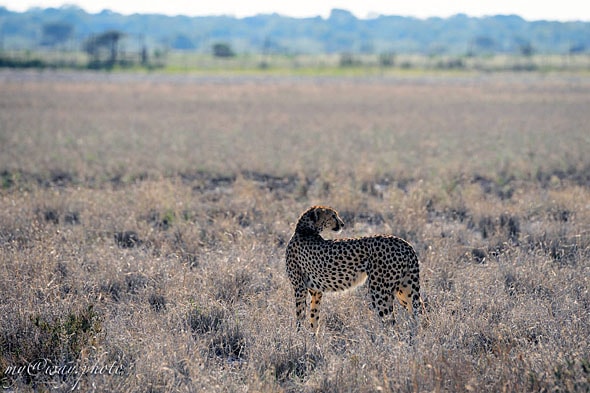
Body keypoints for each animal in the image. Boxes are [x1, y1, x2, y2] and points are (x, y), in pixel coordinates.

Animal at [286, 205, 420, 330]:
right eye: (333, 216)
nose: (342, 224)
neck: (304, 230)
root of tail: (404, 243)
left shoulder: (300, 288)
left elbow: (300, 316)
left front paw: (299, 336)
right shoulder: (315, 291)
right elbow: (314, 318)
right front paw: (312, 338)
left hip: (379, 290)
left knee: (390, 322)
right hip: (405, 288)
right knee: (418, 313)